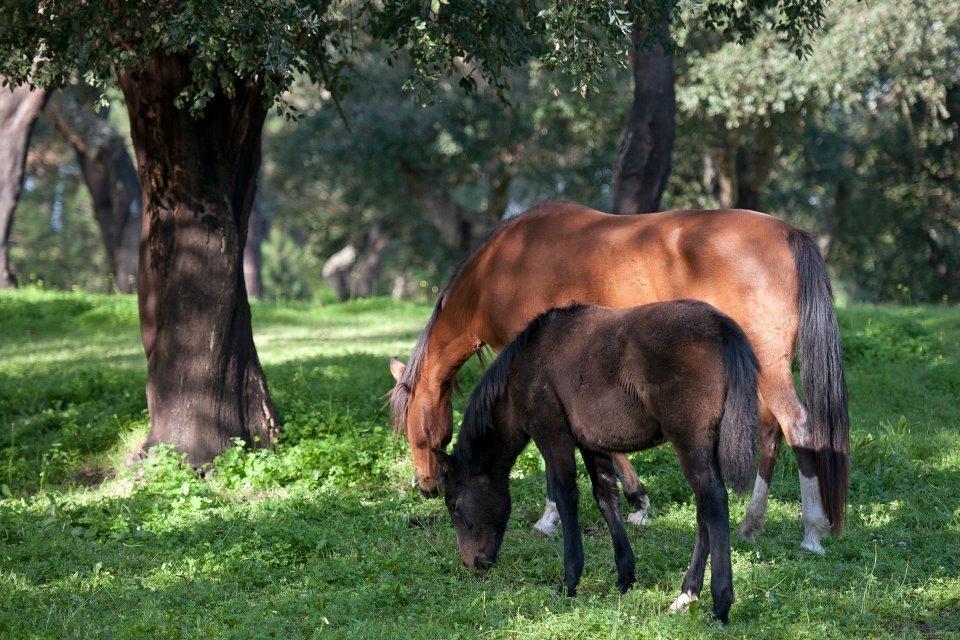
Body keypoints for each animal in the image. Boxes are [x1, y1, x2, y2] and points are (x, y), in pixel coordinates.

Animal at [390, 201, 848, 556]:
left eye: (416, 433)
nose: (427, 486)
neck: (502, 267)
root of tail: (788, 232)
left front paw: (551, 517)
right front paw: (637, 500)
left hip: (768, 368)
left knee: (799, 428)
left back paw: (812, 532)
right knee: (772, 431)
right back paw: (752, 524)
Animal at [434, 302, 756, 624]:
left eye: (454, 506)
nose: (473, 562)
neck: (524, 365)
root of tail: (720, 325)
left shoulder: (552, 435)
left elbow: (566, 498)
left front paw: (569, 581)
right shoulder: (592, 445)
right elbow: (606, 498)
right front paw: (625, 577)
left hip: (689, 441)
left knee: (713, 502)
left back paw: (720, 604)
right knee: (704, 510)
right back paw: (687, 594)